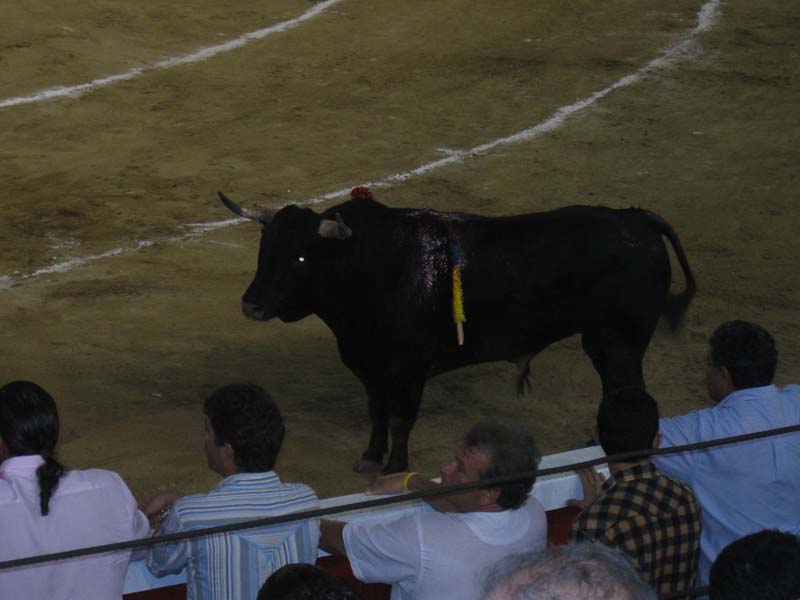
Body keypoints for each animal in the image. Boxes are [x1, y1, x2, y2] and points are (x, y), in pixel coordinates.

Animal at [220, 187, 696, 474]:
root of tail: (635, 219)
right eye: (264, 250)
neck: (378, 268)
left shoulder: (408, 370)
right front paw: (370, 459)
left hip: (621, 337)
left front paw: (395, 466)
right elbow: (376, 412)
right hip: (603, 339)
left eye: (301, 258)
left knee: (626, 384)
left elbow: (400, 418)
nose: (250, 304)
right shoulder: (370, 366)